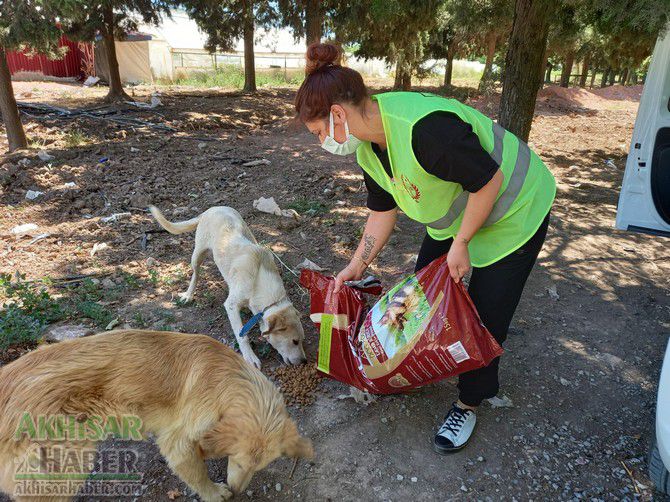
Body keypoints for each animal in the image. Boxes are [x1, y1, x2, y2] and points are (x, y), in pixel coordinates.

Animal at [0, 330, 316, 502]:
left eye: (258, 467)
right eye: (236, 460)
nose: (238, 492)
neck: (228, 378)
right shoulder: (180, 440)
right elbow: (195, 469)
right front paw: (214, 492)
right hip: (63, 466)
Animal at [150, 205, 308, 368]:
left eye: (302, 340)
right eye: (294, 341)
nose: (305, 361)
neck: (259, 280)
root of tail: (211, 209)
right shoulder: (231, 306)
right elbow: (242, 335)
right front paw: (249, 356)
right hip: (198, 254)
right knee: (195, 273)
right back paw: (189, 294)